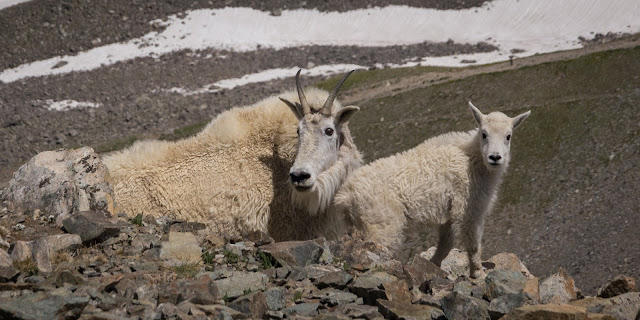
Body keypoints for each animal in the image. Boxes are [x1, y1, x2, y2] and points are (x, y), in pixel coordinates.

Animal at [336, 102, 528, 278]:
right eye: (484, 134)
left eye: (508, 136)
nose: (495, 157)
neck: (473, 159)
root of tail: (346, 194)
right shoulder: (469, 209)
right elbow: (473, 245)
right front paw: (478, 273)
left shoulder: (449, 214)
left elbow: (446, 244)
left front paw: (433, 265)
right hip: (382, 225)